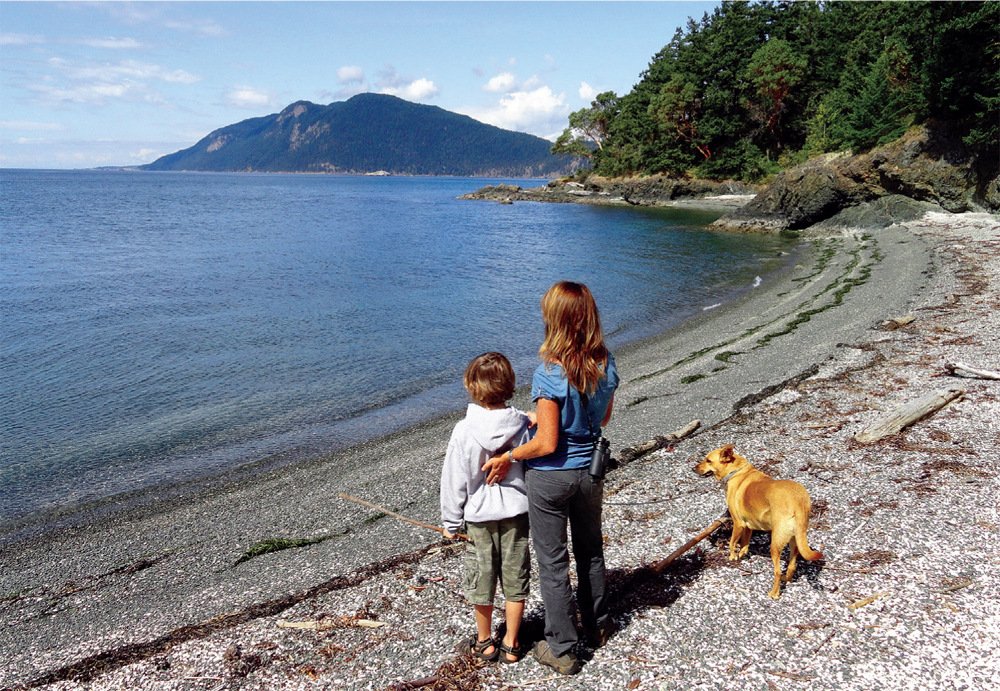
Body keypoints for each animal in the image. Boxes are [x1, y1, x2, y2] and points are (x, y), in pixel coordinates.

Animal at [696, 446, 820, 596]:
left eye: (708, 460)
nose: (693, 468)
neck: (735, 471)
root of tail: (799, 501)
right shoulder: (748, 525)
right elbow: (744, 543)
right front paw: (742, 553)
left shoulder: (738, 523)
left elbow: (732, 543)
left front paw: (732, 556)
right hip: (794, 541)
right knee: (792, 566)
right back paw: (787, 579)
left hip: (775, 544)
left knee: (777, 571)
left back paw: (774, 594)